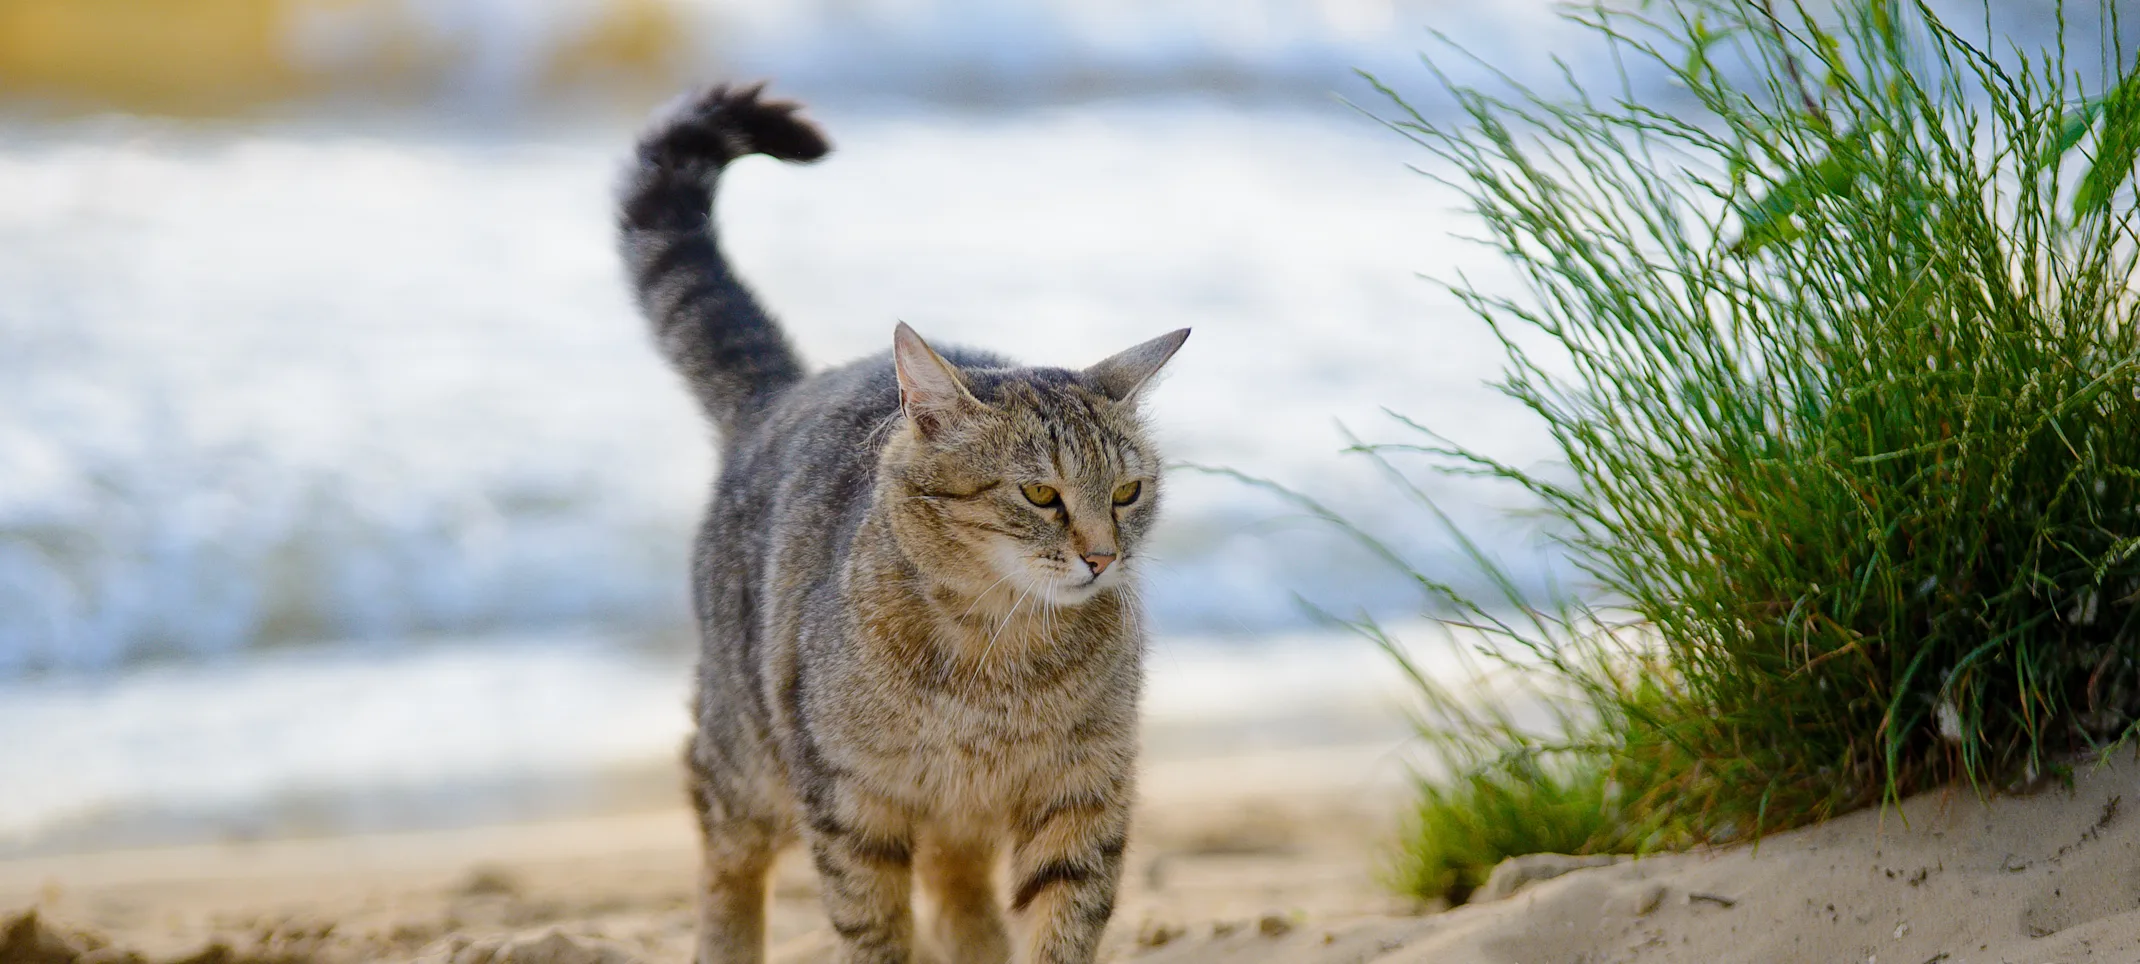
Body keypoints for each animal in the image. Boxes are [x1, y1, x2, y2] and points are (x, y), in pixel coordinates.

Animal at [616, 83, 1189, 964]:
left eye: (1127, 491)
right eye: (1041, 495)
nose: (1102, 556)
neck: (999, 652)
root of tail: (785, 389)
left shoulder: (1084, 792)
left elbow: (1062, 924)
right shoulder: (850, 804)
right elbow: (873, 928)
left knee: (958, 887)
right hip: (746, 751)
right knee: (727, 857)